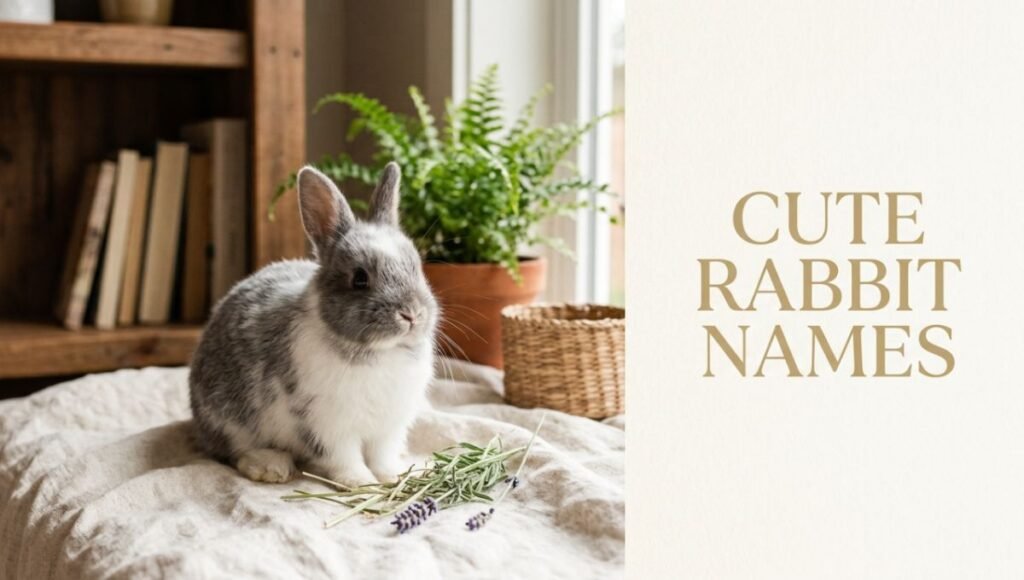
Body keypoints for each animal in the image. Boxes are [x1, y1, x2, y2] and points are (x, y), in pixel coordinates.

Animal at [189, 162, 439, 486]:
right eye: (360, 279)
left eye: (416, 267)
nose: (412, 314)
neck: (382, 351)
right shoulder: (327, 423)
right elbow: (344, 457)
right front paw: (362, 483)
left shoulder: (388, 427)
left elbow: (381, 456)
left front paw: (394, 476)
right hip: (230, 421)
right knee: (232, 452)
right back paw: (270, 466)